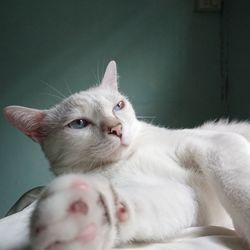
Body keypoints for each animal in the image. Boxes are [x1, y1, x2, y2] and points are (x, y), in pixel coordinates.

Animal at [1, 61, 250, 250]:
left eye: (118, 106)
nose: (117, 128)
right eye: (79, 123)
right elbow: (140, 205)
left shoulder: (215, 143)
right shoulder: (185, 195)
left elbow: (236, 185)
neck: (127, 159)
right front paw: (86, 216)